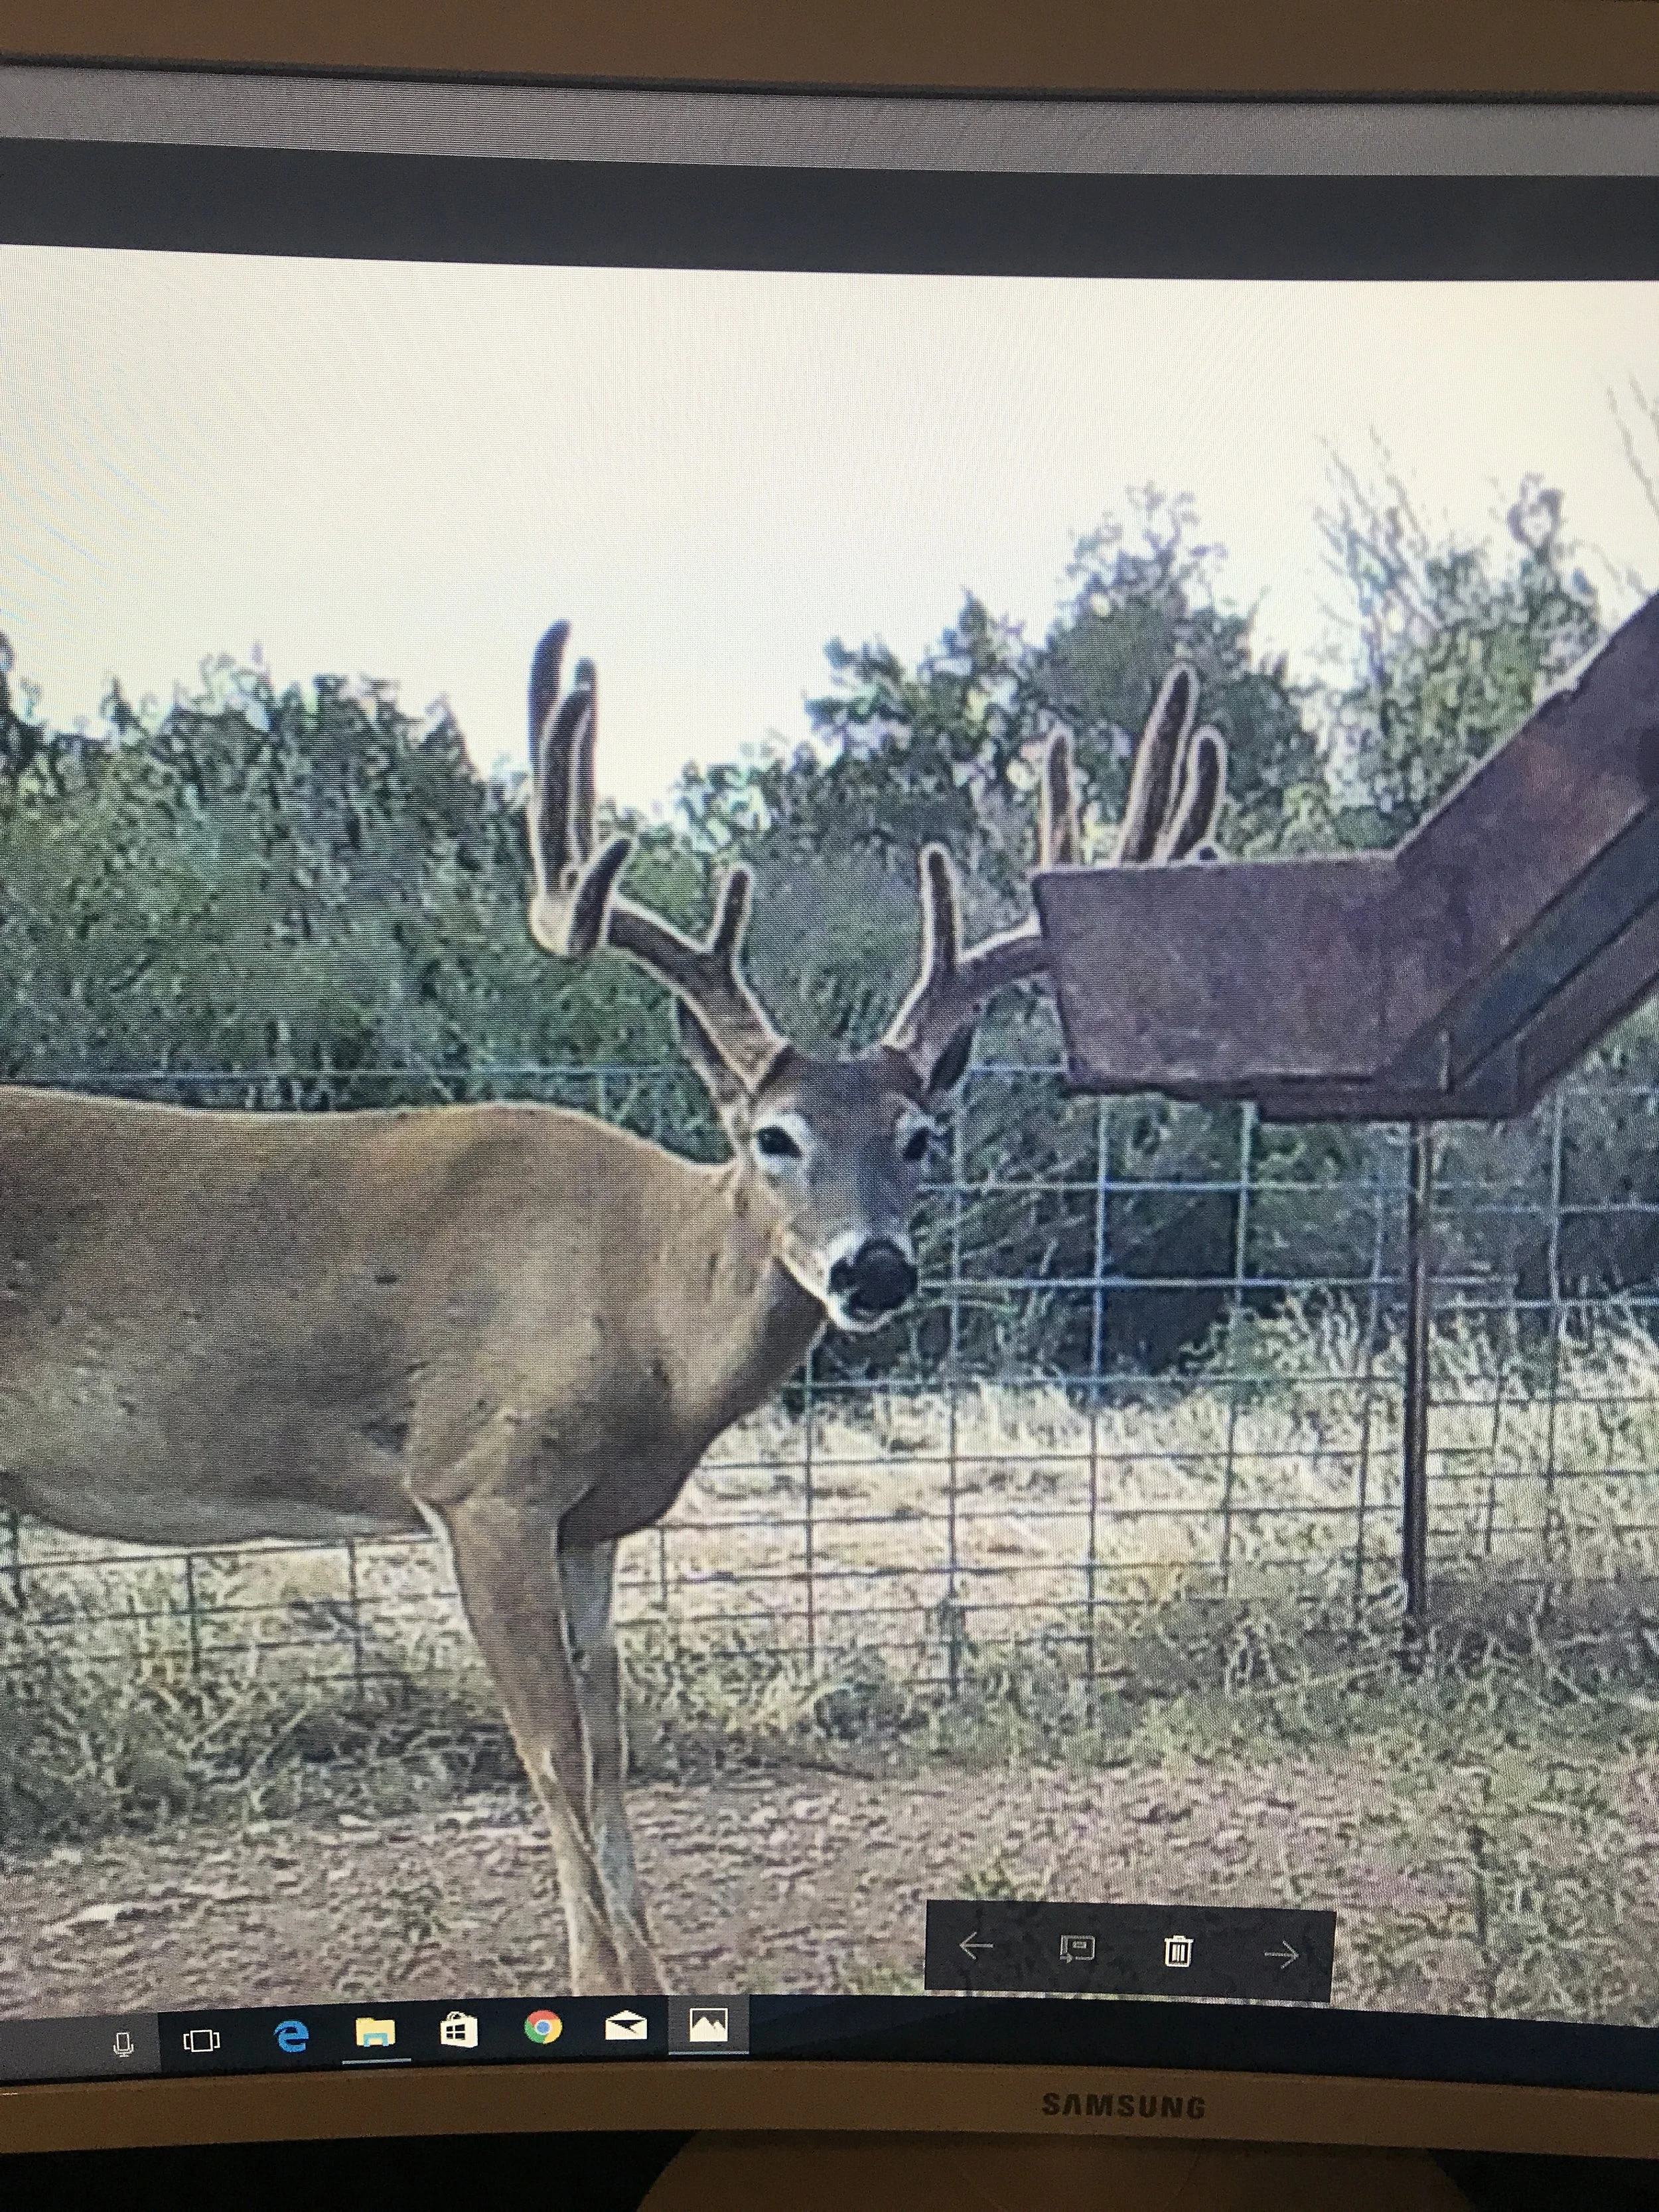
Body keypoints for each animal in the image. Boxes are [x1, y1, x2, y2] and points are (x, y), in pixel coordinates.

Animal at [0, 620, 1225, 1996]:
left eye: (921, 1135)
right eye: (773, 1135)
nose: (875, 1269)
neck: (645, 1314)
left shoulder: (593, 1521)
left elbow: (610, 1746)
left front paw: (648, 1979)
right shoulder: (480, 1480)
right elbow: (548, 1753)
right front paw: (599, 1984)